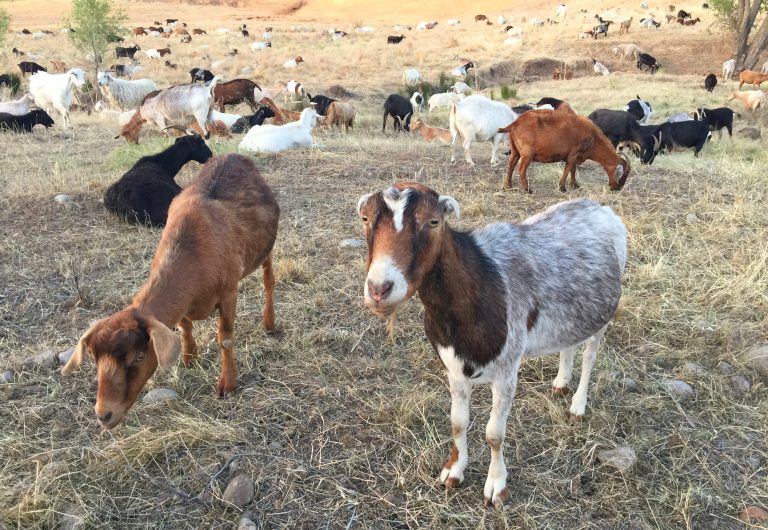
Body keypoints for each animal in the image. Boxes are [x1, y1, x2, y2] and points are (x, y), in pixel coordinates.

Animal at [62, 154, 280, 428]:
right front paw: (189, 358)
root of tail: (233, 156)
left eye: (139, 357)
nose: (104, 415)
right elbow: (184, 327)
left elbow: (225, 338)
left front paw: (228, 384)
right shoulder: (184, 305)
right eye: (93, 357)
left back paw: (269, 323)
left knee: (268, 281)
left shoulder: (229, 292)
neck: (193, 252)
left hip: (267, 250)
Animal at [356, 184, 628, 506]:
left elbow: (494, 433)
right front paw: (454, 471)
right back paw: (561, 381)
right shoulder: (454, 368)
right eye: (364, 218)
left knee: (590, 355)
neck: (479, 282)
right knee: (569, 341)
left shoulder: (507, 370)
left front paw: (497, 486)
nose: (379, 289)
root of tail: (599, 207)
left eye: (434, 221)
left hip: (603, 315)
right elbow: (458, 421)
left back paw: (577, 405)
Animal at [498, 105, 632, 192]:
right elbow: (568, 168)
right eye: (620, 172)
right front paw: (562, 187)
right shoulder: (573, 153)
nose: (617, 188)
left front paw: (574, 185)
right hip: (527, 154)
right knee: (521, 169)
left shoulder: (575, 155)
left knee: (510, 166)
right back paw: (527, 189)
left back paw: (508, 186)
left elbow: (573, 169)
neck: (593, 138)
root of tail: (515, 123)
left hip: (515, 151)